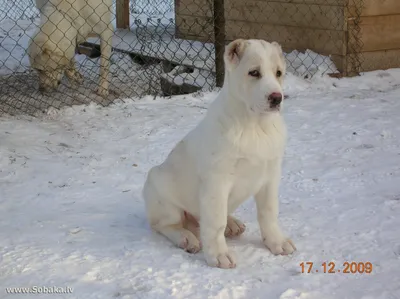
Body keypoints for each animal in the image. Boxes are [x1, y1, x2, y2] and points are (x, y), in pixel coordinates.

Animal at [142, 39, 296, 270]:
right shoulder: (217, 181)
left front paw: (276, 241)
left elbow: (268, 213)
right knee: (165, 224)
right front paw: (219, 255)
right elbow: (215, 222)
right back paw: (186, 238)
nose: (276, 98)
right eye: (254, 73)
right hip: (162, 194)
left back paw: (232, 223)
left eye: (279, 73)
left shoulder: (270, 176)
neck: (255, 126)